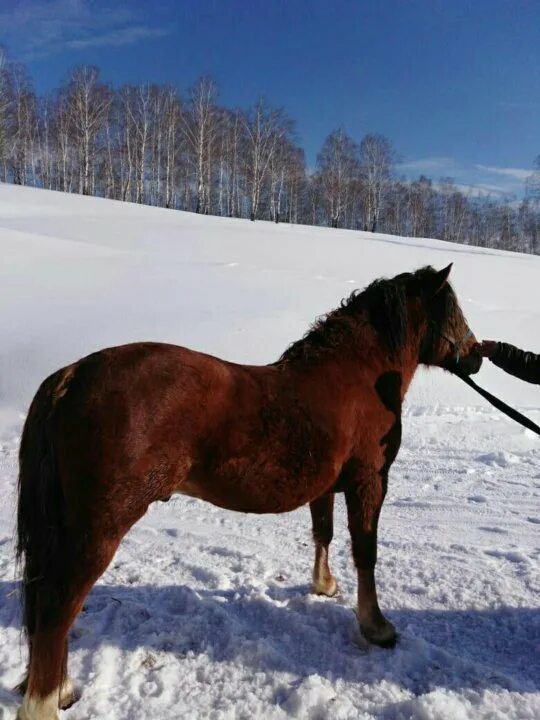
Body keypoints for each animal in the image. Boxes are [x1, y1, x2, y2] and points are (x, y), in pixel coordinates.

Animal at [15, 264, 480, 720]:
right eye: (452, 310)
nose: (476, 355)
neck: (357, 378)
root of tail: (72, 375)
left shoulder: (326, 488)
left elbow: (323, 534)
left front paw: (324, 585)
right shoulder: (369, 480)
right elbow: (366, 552)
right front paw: (376, 626)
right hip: (98, 530)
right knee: (57, 608)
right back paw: (44, 704)